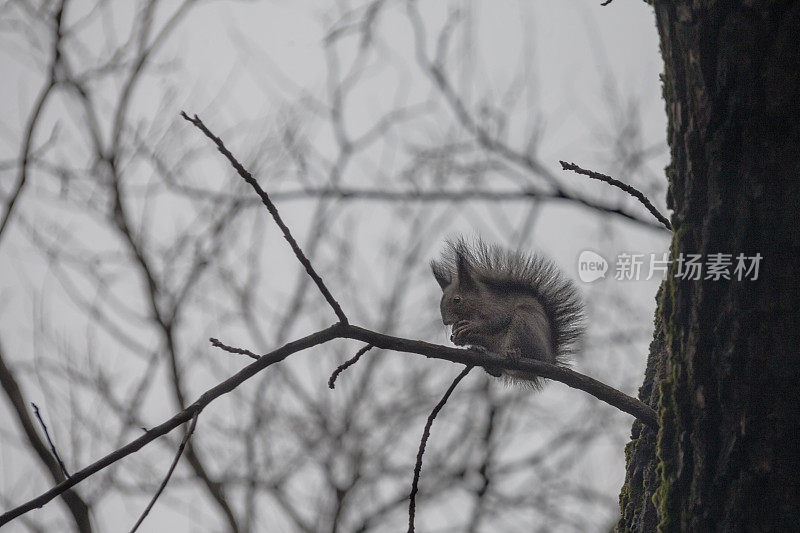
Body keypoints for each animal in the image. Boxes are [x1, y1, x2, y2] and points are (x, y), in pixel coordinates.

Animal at [434, 237, 584, 386]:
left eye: (457, 299)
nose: (446, 321)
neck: (478, 303)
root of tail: (550, 359)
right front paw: (457, 336)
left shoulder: (498, 307)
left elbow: (496, 321)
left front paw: (471, 326)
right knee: (496, 368)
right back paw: (482, 354)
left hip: (524, 322)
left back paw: (513, 353)